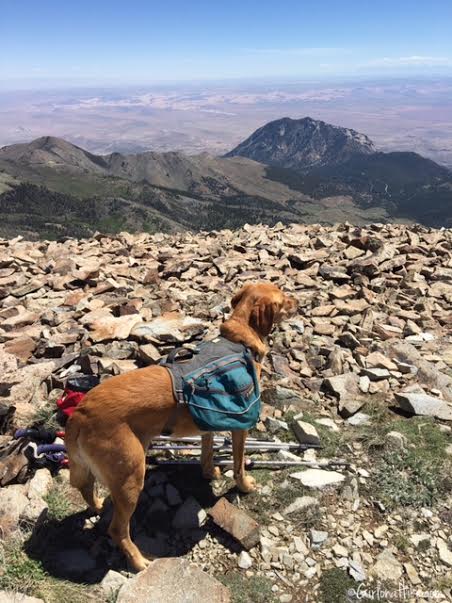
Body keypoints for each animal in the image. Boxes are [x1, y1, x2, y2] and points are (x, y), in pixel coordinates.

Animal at [63, 282, 296, 572]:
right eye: (283, 298)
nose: (298, 302)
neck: (240, 337)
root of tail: (80, 413)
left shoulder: (209, 421)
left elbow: (207, 451)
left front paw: (210, 472)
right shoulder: (241, 423)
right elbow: (239, 463)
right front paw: (245, 485)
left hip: (99, 470)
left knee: (86, 488)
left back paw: (96, 506)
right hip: (131, 475)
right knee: (117, 530)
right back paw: (138, 561)